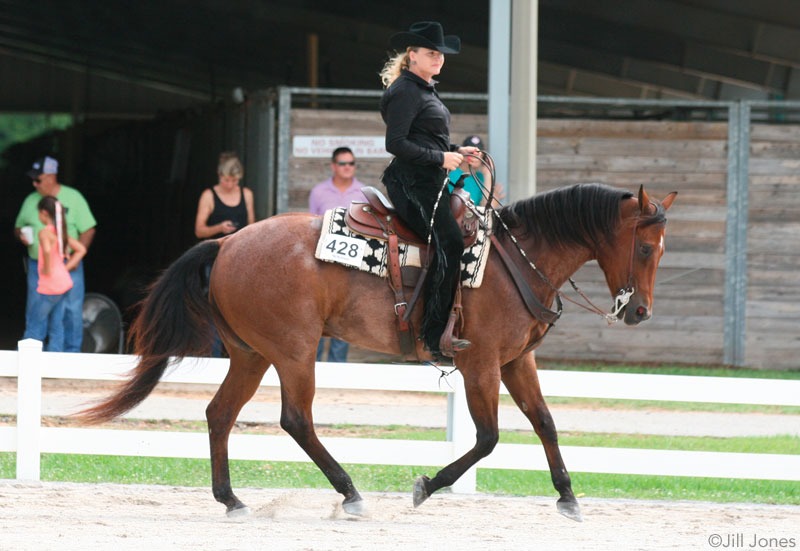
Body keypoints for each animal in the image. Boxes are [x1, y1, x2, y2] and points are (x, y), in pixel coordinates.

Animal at [79, 184, 676, 520]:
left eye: (661, 250)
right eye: (646, 248)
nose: (641, 313)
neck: (515, 261)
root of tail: (226, 242)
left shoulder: (515, 361)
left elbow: (547, 423)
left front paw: (568, 497)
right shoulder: (480, 363)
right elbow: (487, 439)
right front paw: (425, 487)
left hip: (251, 353)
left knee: (220, 413)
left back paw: (231, 500)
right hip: (294, 351)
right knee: (296, 419)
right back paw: (349, 493)